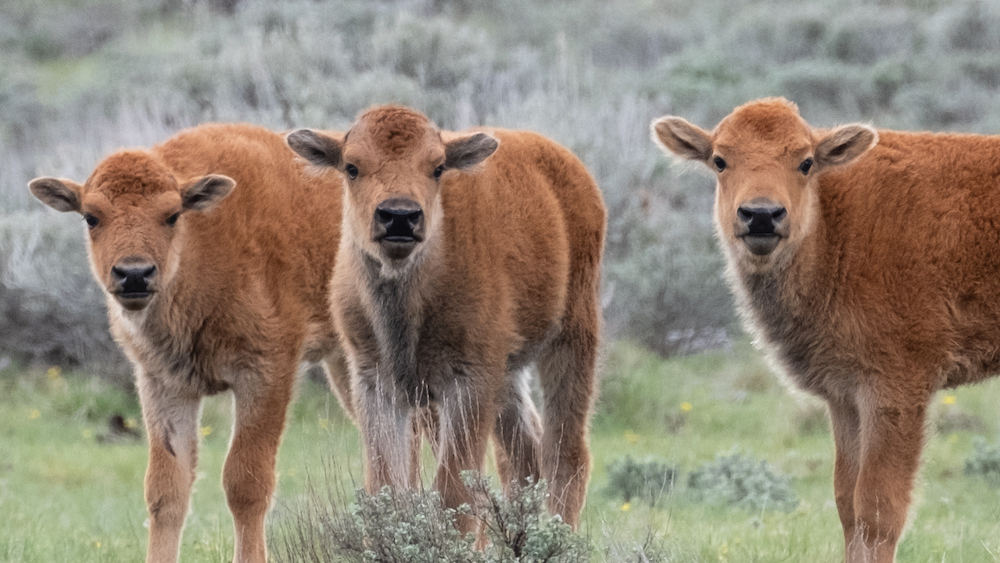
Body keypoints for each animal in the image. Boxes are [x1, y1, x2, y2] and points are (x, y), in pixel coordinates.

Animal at [286, 107, 604, 532]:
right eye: (351, 167)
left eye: (437, 168)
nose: (399, 216)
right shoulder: (375, 382)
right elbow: (387, 488)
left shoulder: (468, 380)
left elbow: (454, 493)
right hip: (509, 373)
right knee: (525, 456)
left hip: (573, 337)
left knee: (565, 454)